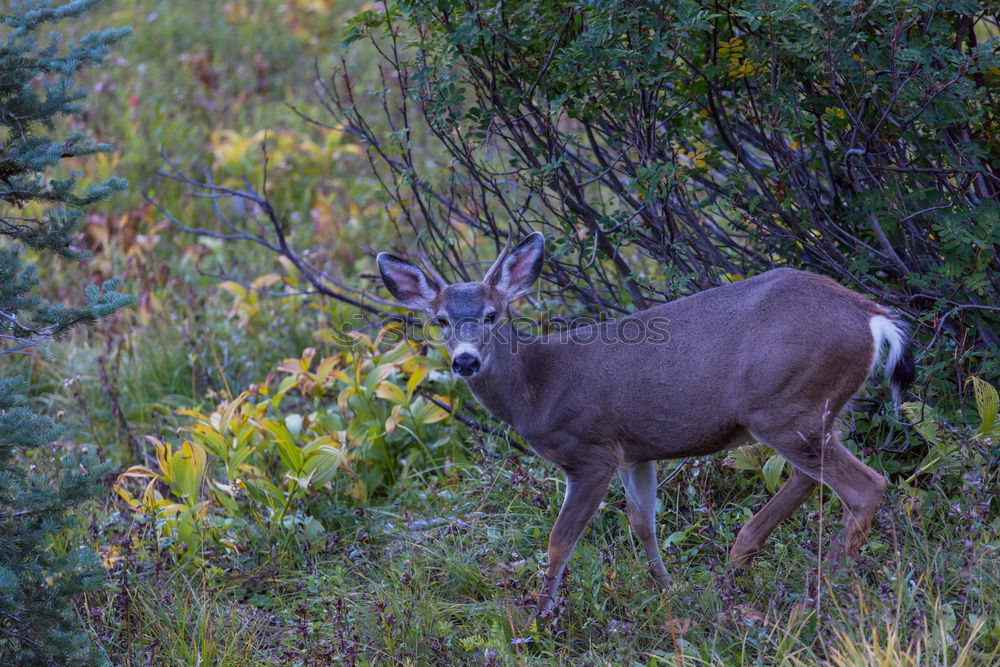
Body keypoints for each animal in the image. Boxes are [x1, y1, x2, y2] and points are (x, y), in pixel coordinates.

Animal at [376, 232, 916, 620]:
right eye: (441, 320)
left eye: (492, 314)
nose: (465, 361)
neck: (538, 387)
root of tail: (873, 317)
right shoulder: (634, 452)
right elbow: (643, 525)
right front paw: (668, 592)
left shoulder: (589, 451)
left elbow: (559, 540)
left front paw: (540, 620)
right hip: (814, 408)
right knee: (813, 477)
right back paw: (741, 564)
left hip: (782, 406)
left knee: (865, 484)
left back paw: (819, 597)